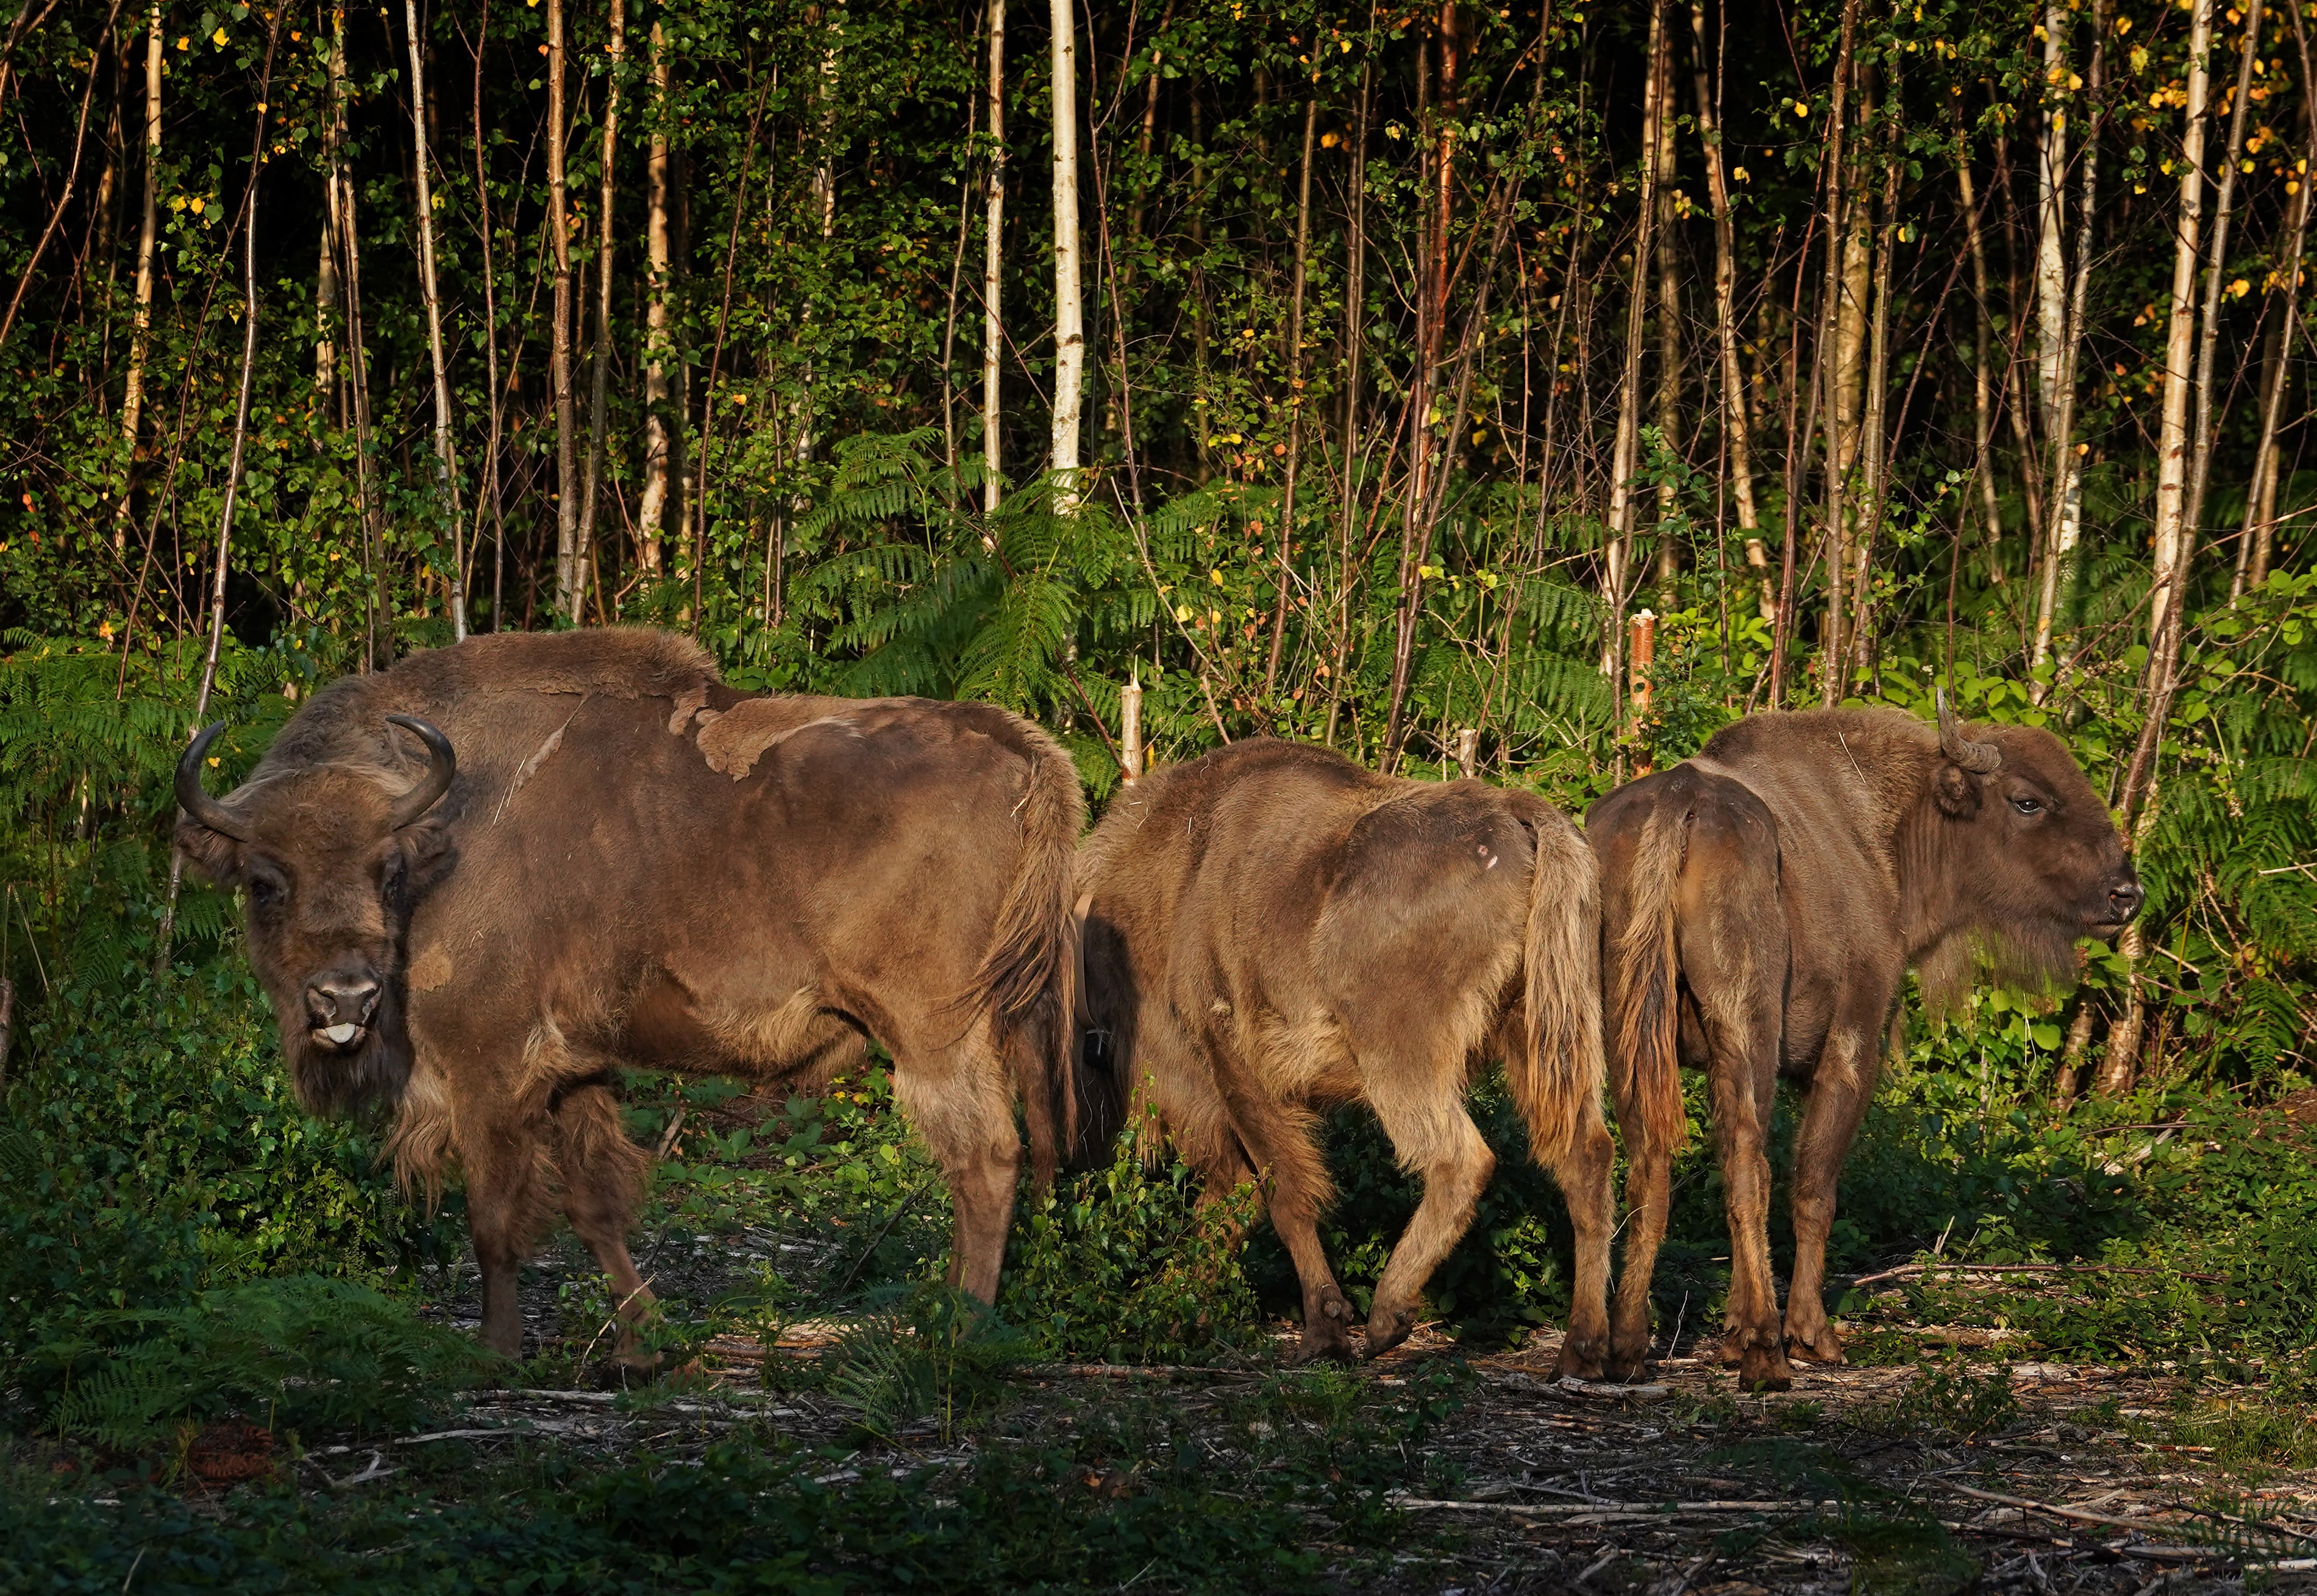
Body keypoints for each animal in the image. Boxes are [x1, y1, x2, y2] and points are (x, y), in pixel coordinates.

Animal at [174, 630, 1084, 1353]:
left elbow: (493, 1220)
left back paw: (958, 1332)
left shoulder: (489, 1068)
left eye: (386, 869)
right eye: (264, 881)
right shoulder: (574, 1068)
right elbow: (594, 1205)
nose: (344, 1000)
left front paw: (494, 1352)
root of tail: (1025, 750)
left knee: (984, 1159)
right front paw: (646, 1339)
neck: (442, 831)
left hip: (934, 1035)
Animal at [1066, 736, 1612, 1371]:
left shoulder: (1233, 1061)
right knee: (1586, 1158)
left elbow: (1282, 1193)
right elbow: (1238, 1196)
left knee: (1459, 1158)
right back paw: (1584, 1349)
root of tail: (1514, 815)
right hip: (1544, 1036)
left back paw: (1386, 1317)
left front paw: (1323, 1330)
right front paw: (1172, 1313)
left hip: (1400, 1057)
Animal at [1594, 694, 2131, 1380]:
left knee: (1646, 1167)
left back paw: (1626, 1345)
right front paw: (1810, 1335)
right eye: (2027, 800)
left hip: (1627, 1030)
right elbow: (1814, 1188)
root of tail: (1680, 801)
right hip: (1743, 1028)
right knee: (1746, 1164)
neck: (1884, 829)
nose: (2125, 894)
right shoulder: (1851, 1042)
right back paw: (1763, 1348)